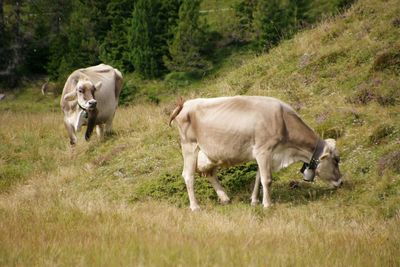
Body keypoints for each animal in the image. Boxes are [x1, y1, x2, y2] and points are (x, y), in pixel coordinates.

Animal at [170, 96, 342, 211]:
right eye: (336, 160)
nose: (341, 182)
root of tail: (184, 104)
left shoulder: (266, 154)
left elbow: (259, 177)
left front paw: (254, 201)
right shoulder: (263, 150)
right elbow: (267, 179)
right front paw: (267, 204)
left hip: (210, 154)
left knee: (210, 174)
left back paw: (225, 198)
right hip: (190, 146)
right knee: (188, 175)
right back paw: (195, 207)